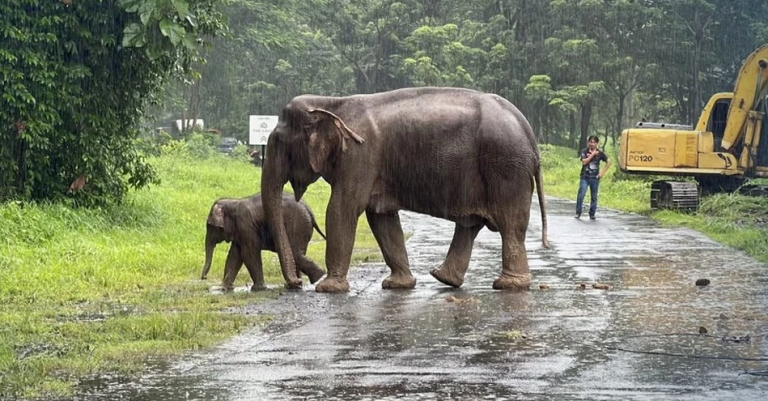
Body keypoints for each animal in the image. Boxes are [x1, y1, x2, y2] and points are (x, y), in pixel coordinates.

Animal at [260, 86, 549, 293]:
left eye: (280, 142)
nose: (296, 284)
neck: (331, 102)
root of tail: (528, 132)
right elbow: (381, 218)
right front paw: (397, 285)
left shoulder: (360, 155)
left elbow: (343, 209)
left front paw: (328, 289)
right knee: (471, 224)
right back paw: (445, 278)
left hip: (505, 167)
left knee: (510, 224)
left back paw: (508, 285)